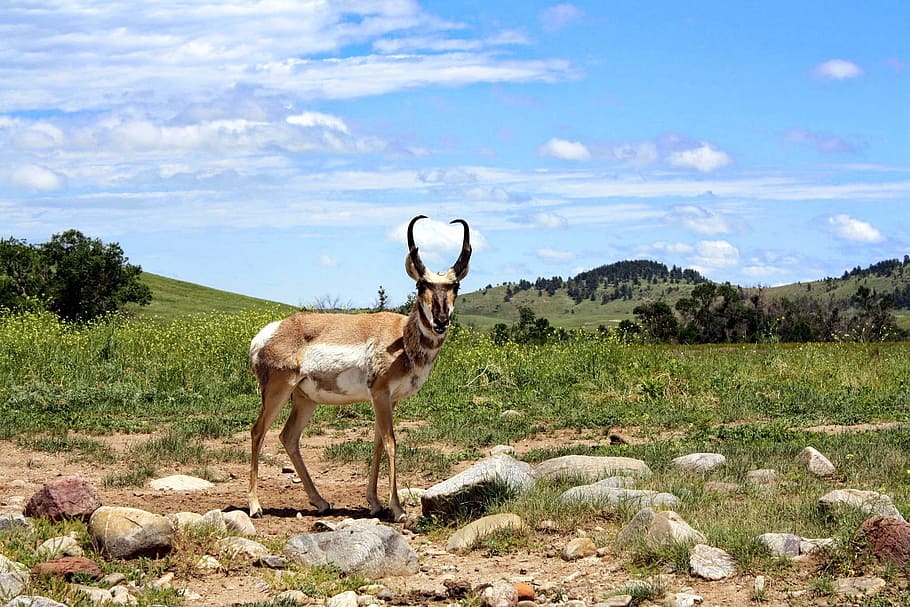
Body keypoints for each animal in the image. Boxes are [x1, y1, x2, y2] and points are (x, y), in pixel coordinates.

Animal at [251, 215, 474, 524]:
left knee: (289, 437)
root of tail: (271, 331)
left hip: (304, 400)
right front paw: (398, 509)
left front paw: (375, 503)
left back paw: (321, 502)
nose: (441, 320)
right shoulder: (380, 394)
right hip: (277, 392)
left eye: (456, 287)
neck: (401, 338)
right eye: (420, 286)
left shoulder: (389, 399)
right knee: (258, 432)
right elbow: (391, 442)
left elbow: (378, 443)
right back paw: (255, 506)